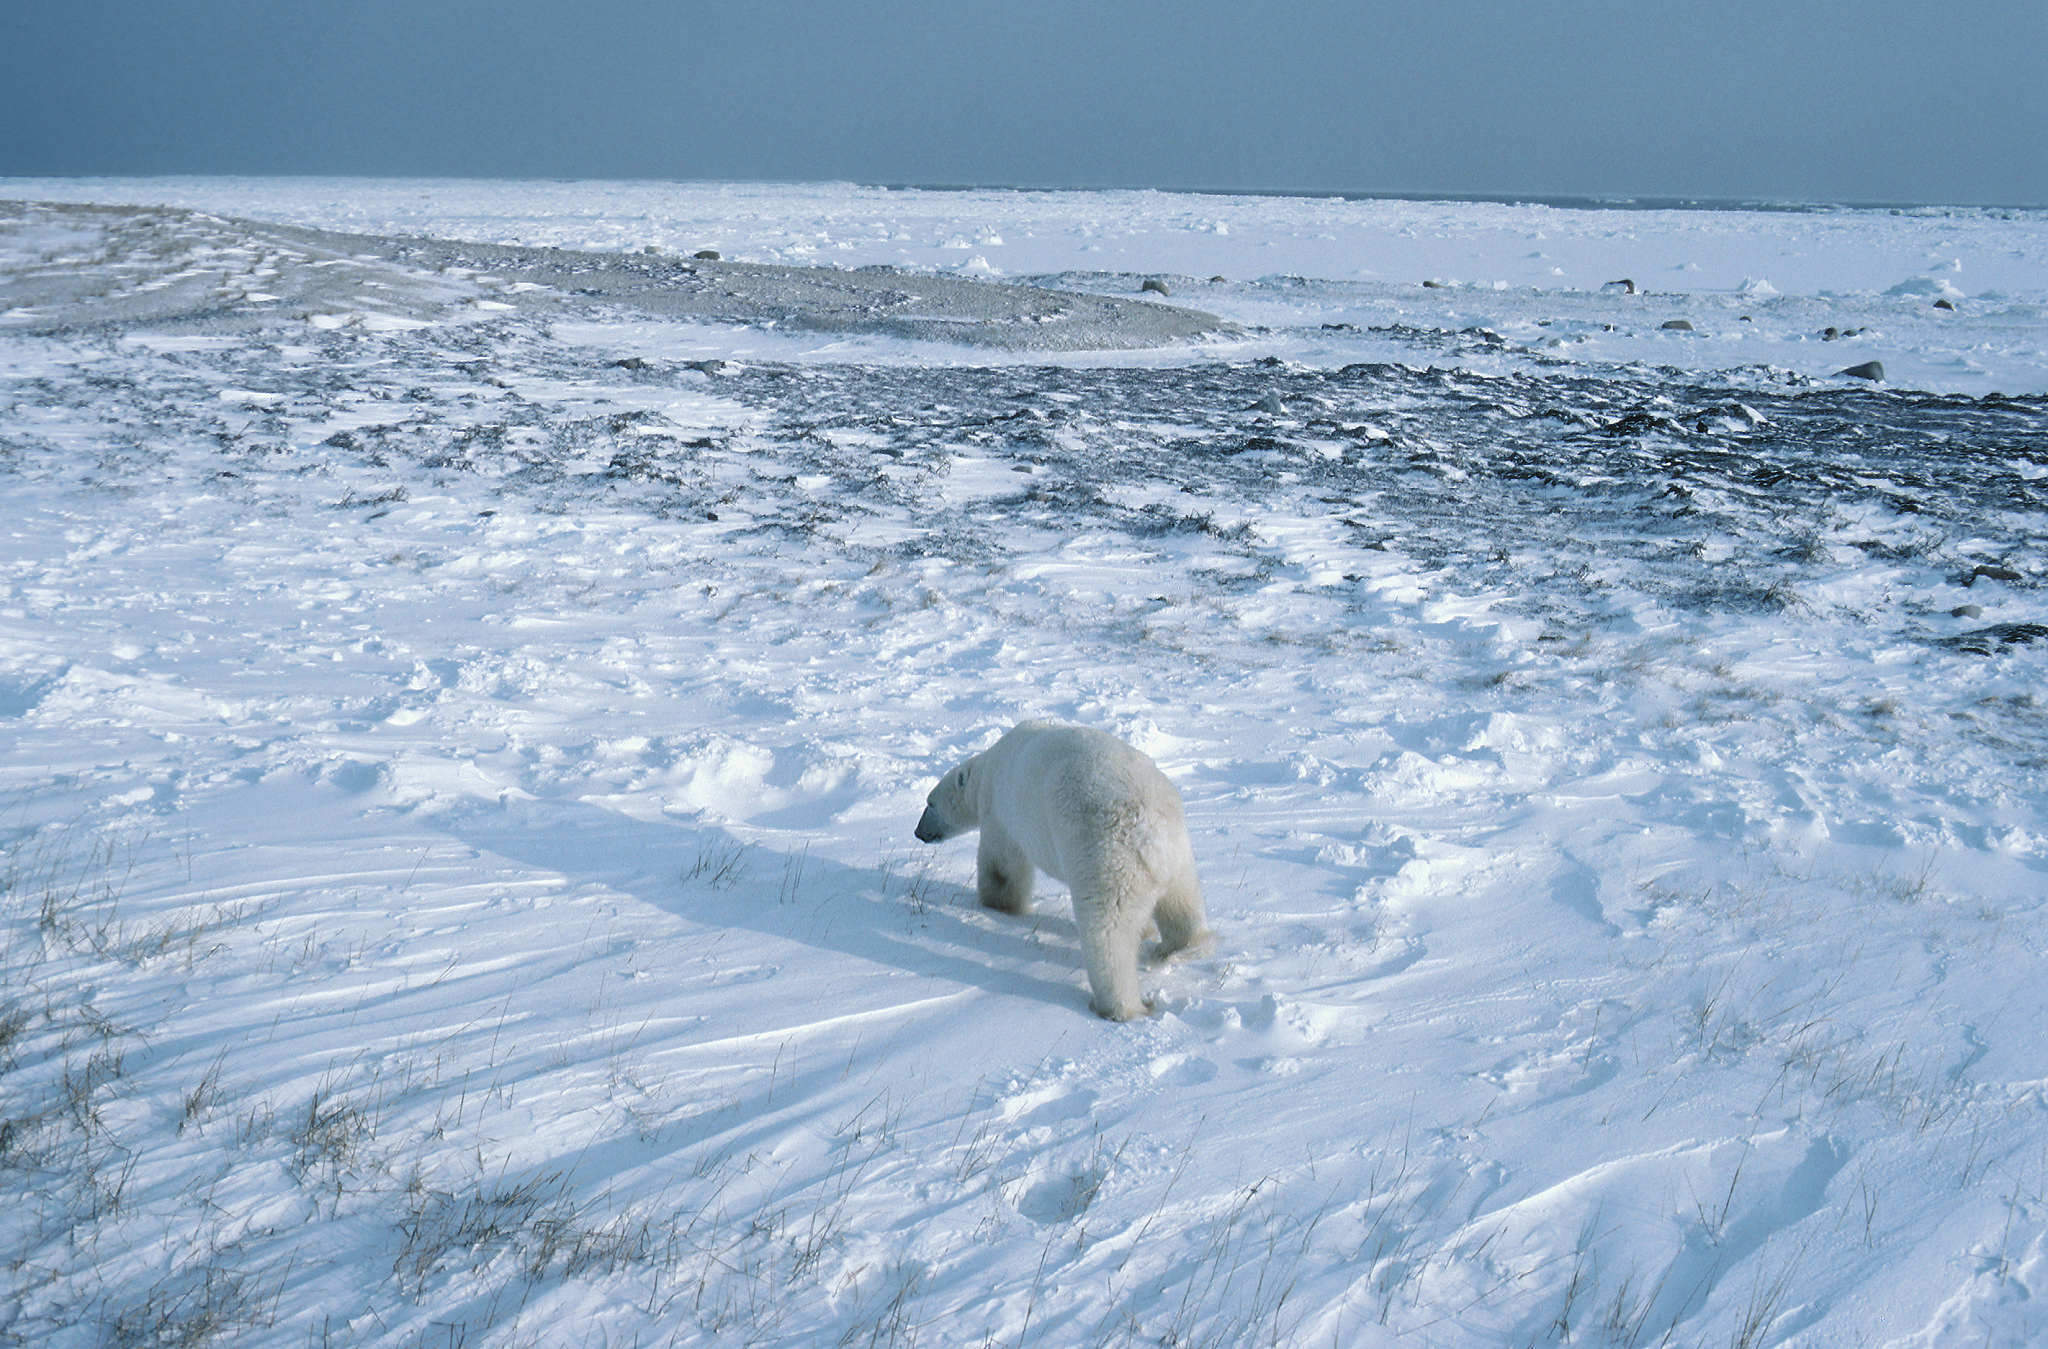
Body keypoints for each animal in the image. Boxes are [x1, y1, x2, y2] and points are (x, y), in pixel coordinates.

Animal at [914, 721, 1211, 1020]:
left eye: (930, 803)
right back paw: (1182, 947)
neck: (986, 770)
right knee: (1182, 900)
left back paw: (1120, 1006)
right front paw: (1149, 931)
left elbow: (1002, 866)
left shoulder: (999, 811)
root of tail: (1148, 829)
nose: (918, 832)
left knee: (1108, 932)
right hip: (1178, 849)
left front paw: (998, 905)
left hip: (1104, 854)